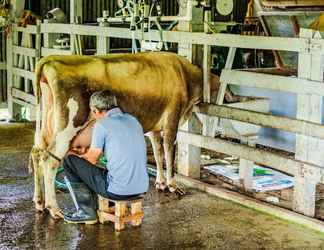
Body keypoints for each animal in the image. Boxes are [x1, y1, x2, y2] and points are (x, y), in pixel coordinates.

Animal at [29, 51, 238, 218]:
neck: (185, 75)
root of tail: (51, 58)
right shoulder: (172, 119)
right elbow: (169, 153)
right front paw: (173, 185)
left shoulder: (154, 127)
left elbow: (158, 153)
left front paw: (160, 183)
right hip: (68, 127)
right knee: (50, 160)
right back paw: (54, 208)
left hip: (48, 125)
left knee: (37, 153)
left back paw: (39, 202)